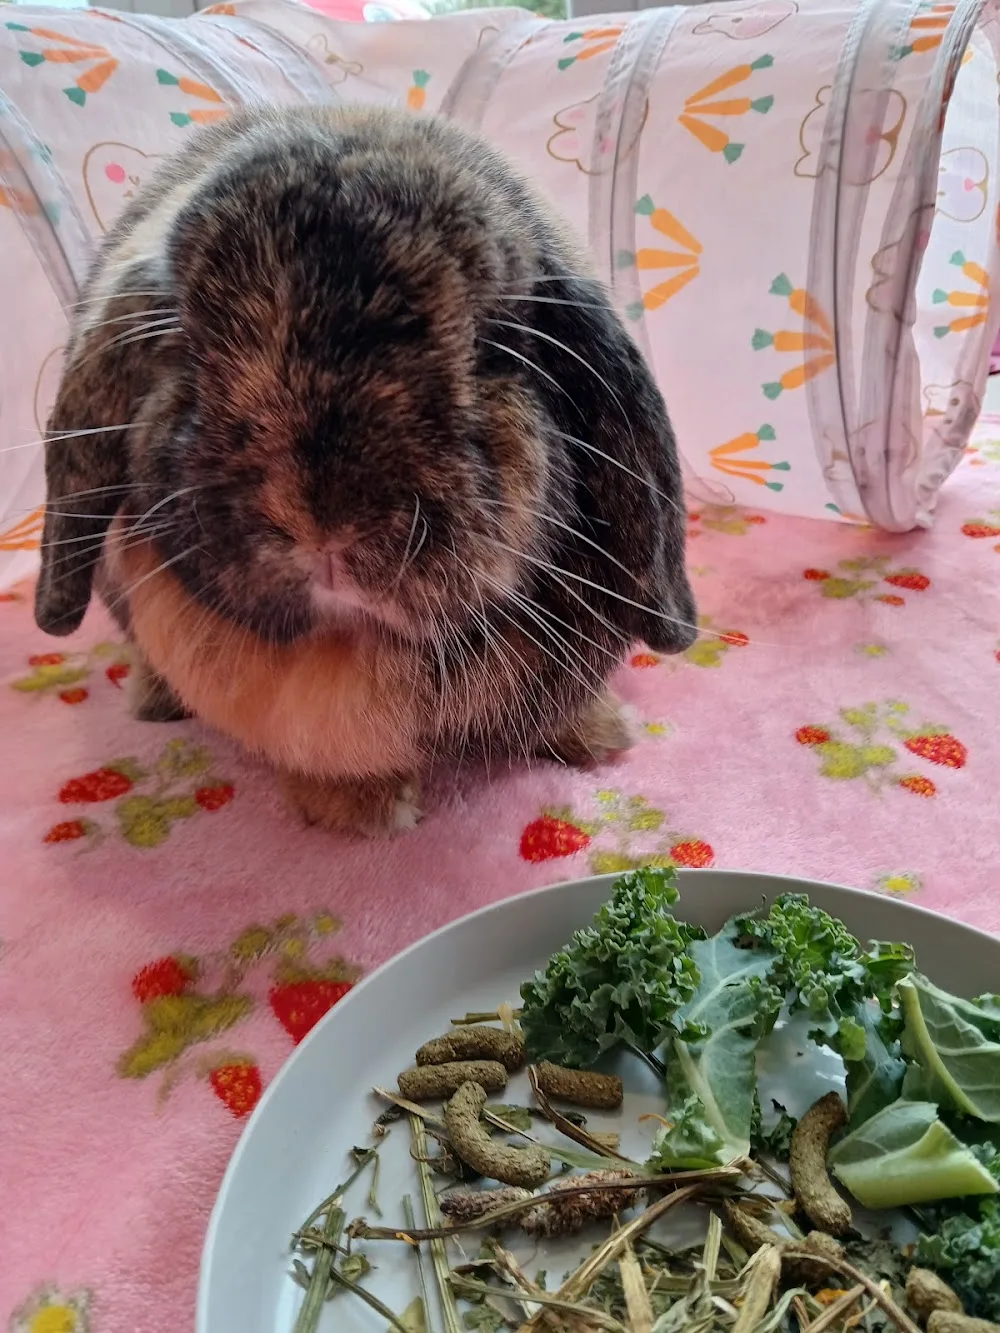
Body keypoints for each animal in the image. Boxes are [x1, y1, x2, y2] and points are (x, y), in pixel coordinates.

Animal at [34, 104, 696, 836]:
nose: (322, 527)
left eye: (494, 344)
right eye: (187, 343)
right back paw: (155, 702)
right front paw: (367, 810)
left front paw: (602, 736)